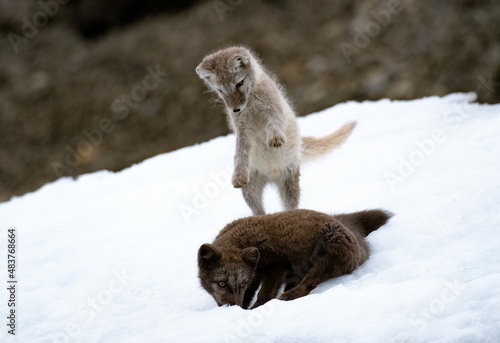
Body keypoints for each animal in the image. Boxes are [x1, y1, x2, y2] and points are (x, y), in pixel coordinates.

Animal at [195, 46, 356, 215]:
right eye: (220, 90)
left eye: (239, 83)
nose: (235, 109)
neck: (251, 105)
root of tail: (271, 176)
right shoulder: (242, 130)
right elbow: (240, 152)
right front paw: (238, 175)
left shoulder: (274, 108)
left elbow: (276, 124)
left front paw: (275, 138)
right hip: (251, 190)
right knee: (258, 210)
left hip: (289, 182)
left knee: (290, 205)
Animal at [197, 208, 392, 310]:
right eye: (222, 283)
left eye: (241, 284)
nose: (232, 307)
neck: (241, 239)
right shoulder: (255, 272)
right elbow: (251, 293)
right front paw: (244, 307)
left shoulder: (276, 265)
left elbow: (264, 293)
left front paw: (255, 308)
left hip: (329, 247)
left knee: (309, 283)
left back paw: (289, 295)